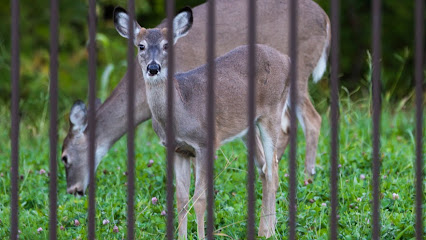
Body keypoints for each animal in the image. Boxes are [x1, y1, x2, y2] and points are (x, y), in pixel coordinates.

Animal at [62, 0, 330, 204]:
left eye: (64, 157)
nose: (73, 190)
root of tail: (326, 19)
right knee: (285, 128)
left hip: (299, 70)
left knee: (313, 119)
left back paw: (307, 176)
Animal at [113, 6, 292, 238]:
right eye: (141, 45)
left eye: (166, 45)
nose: (153, 68)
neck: (182, 110)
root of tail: (286, 59)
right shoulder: (178, 149)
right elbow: (181, 200)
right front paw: (181, 236)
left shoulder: (206, 143)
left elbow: (199, 199)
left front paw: (200, 235)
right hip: (247, 127)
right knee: (264, 169)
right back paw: (265, 229)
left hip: (272, 112)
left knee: (273, 171)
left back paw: (268, 232)